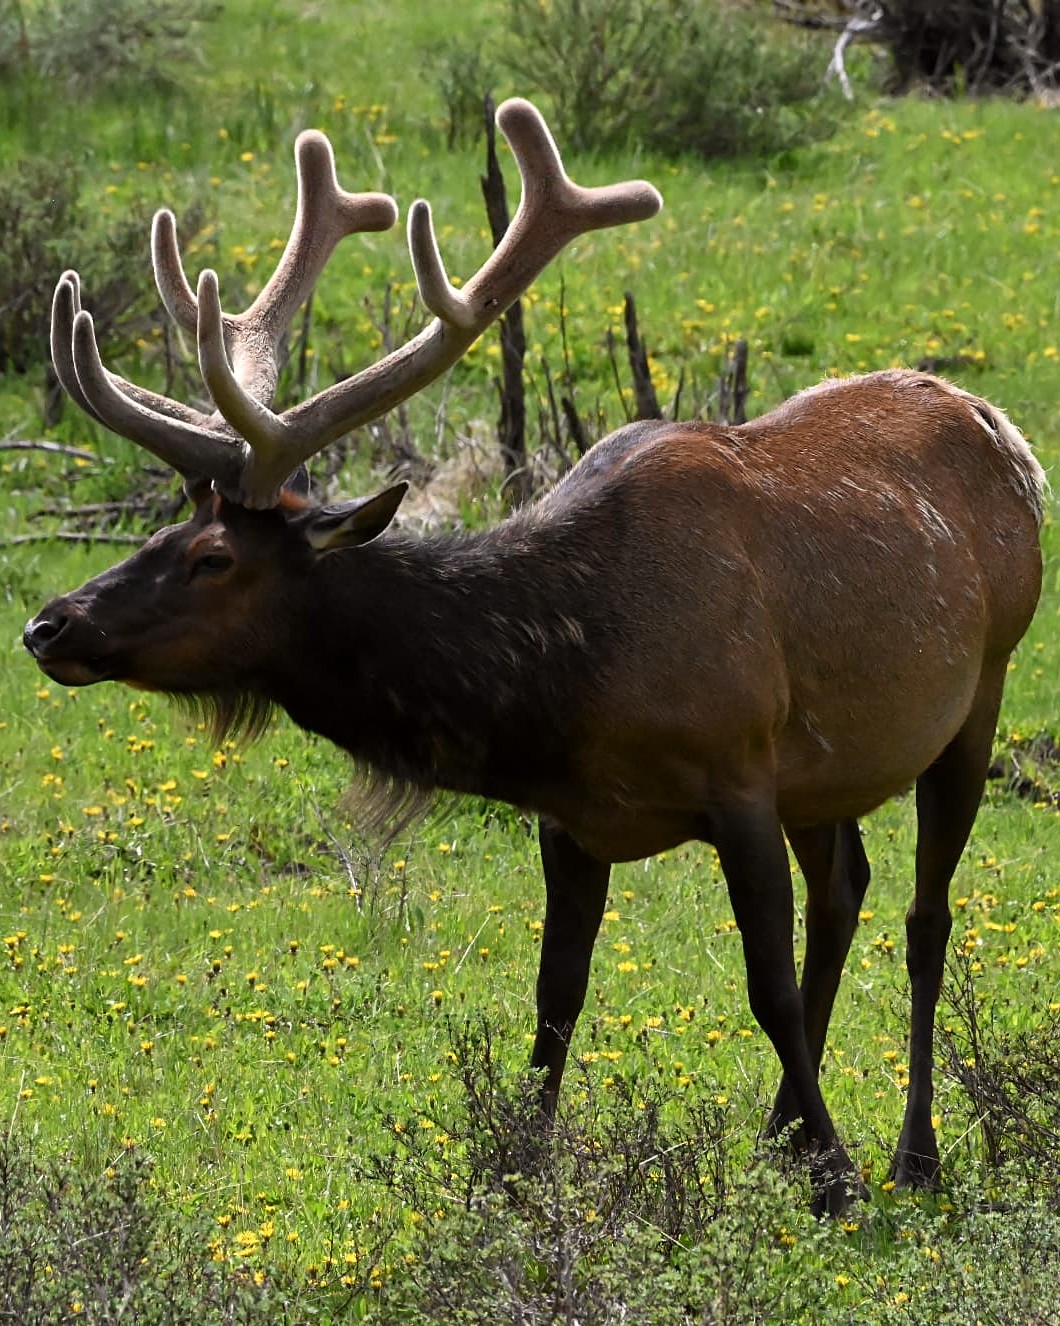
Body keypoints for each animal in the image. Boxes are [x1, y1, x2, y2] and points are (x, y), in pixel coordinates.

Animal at [22, 97, 1045, 1217]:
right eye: (163, 529)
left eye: (214, 558)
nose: (50, 625)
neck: (569, 685)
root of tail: (1001, 427)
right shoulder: (575, 820)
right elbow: (557, 996)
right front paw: (519, 1174)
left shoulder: (738, 770)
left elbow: (763, 987)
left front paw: (838, 1179)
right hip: (827, 768)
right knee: (845, 891)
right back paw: (777, 1133)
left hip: (980, 689)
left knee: (923, 916)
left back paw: (909, 1153)